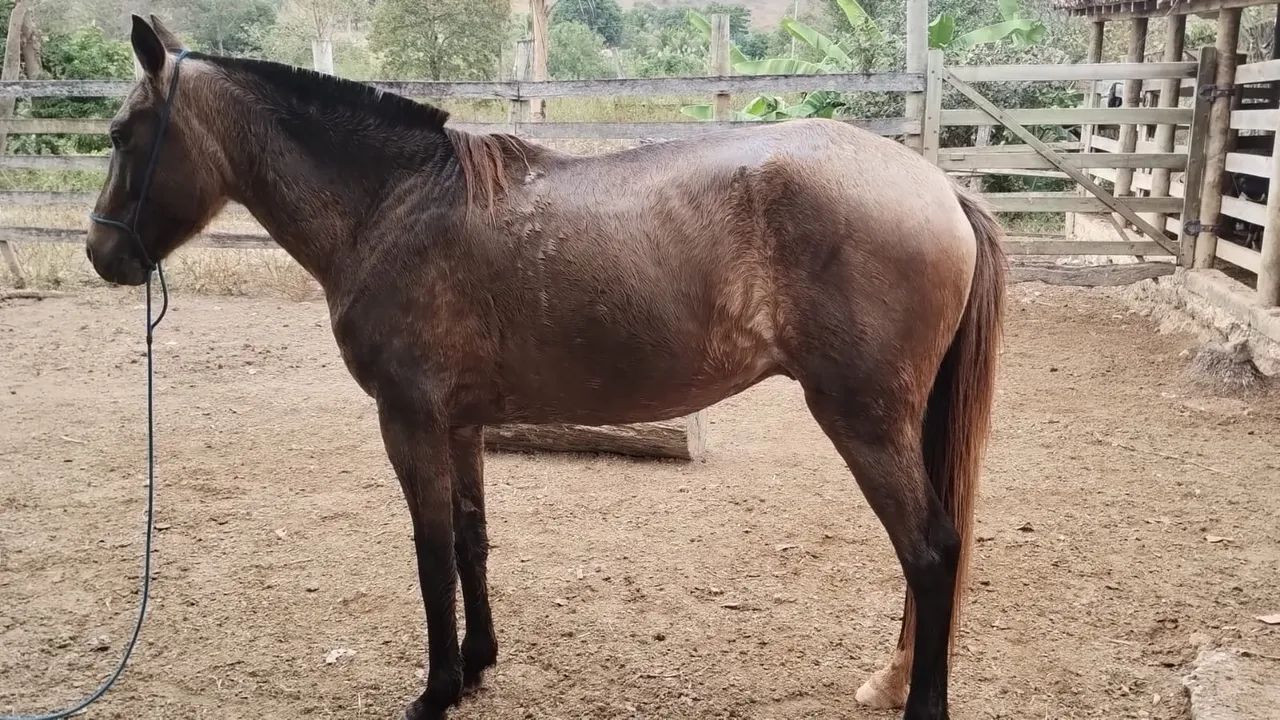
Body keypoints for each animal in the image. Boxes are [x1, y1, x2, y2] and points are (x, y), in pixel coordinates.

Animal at [86, 16, 1005, 720]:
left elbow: (429, 549)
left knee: (928, 550)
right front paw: (478, 664)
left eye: (123, 134)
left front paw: (436, 691)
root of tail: (937, 187)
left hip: (864, 418)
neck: (396, 204)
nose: (102, 253)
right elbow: (469, 538)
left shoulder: (408, 417)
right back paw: (892, 681)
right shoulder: (459, 422)